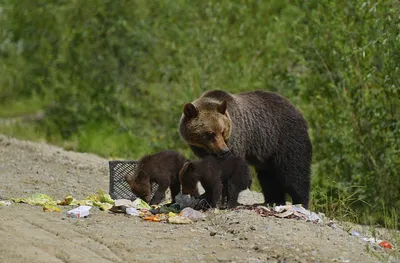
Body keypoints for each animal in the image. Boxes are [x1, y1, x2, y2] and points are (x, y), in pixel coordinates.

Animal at [178, 90, 312, 208]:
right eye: (210, 133)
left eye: (222, 131)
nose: (224, 150)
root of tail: (295, 108)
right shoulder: (203, 151)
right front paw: (206, 197)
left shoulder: (236, 140)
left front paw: (224, 201)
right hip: (267, 155)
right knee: (268, 177)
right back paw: (273, 201)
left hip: (285, 137)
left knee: (295, 172)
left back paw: (300, 202)